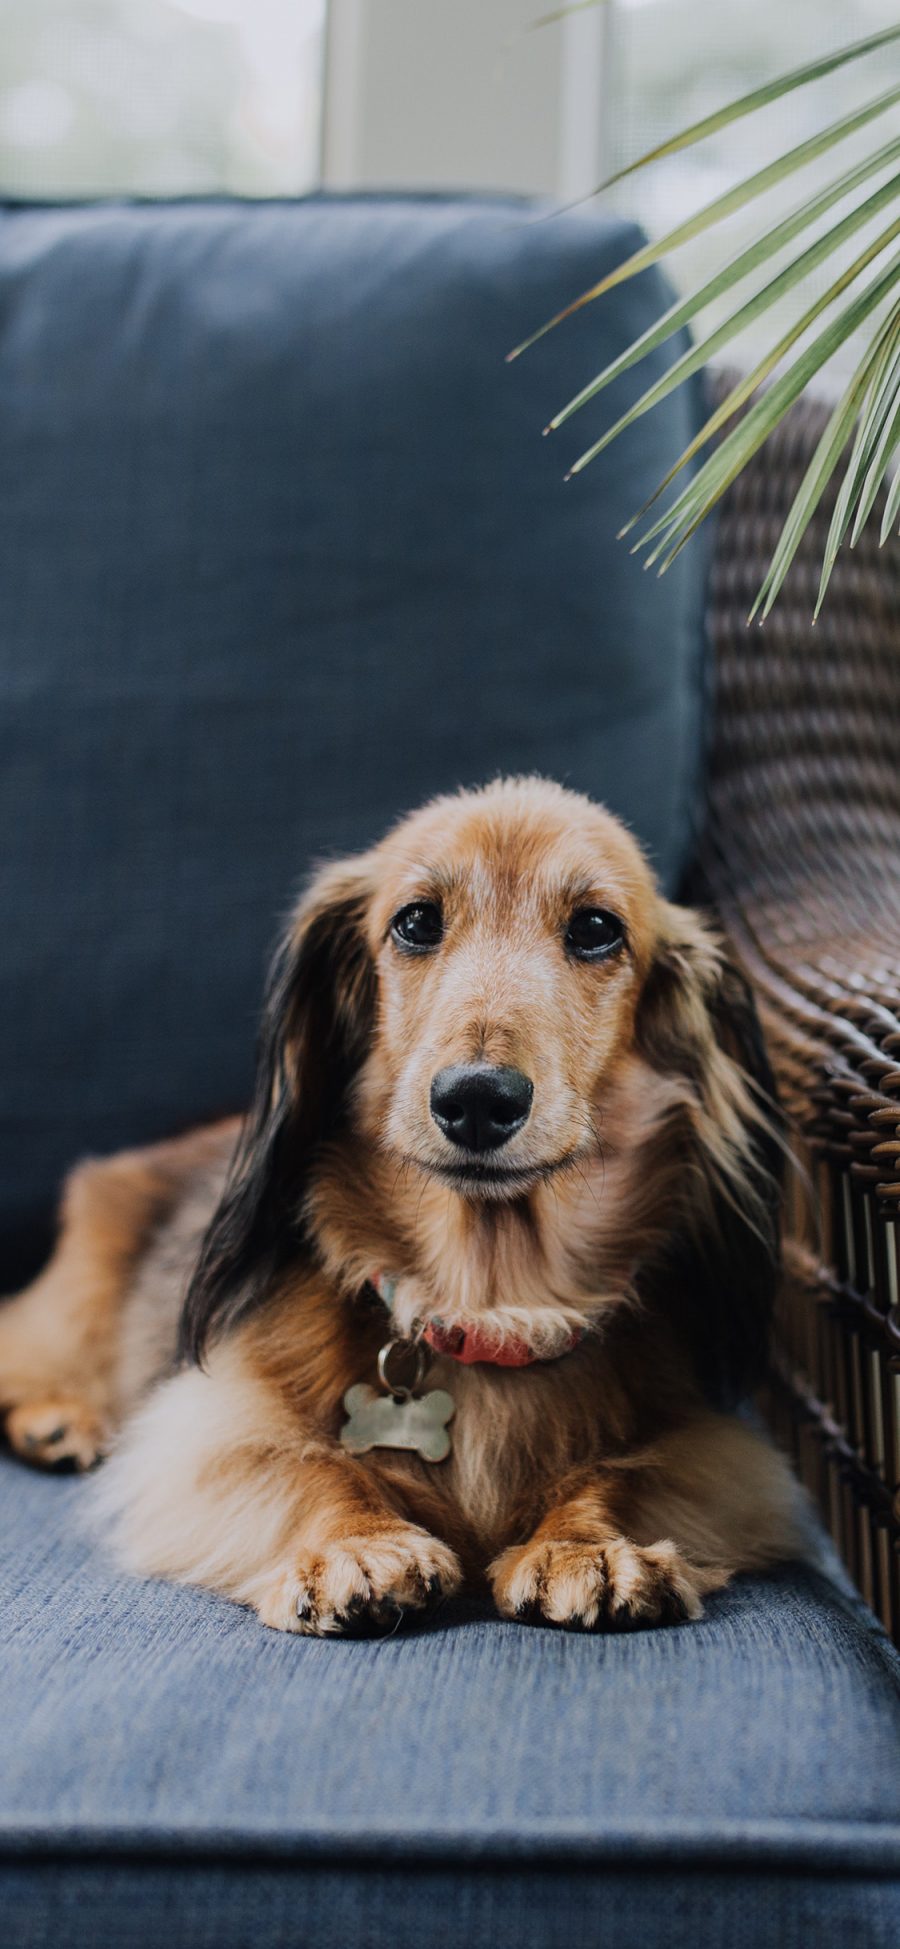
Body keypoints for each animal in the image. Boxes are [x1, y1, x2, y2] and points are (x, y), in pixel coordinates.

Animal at [0, 775, 802, 1629]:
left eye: (595, 928)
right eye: (416, 920)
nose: (477, 1099)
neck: (487, 1305)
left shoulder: (710, 1449)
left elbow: (619, 1472)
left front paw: (585, 1544)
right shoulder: (210, 1431)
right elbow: (314, 1467)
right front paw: (357, 1543)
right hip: (75, 1309)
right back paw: (57, 1418)